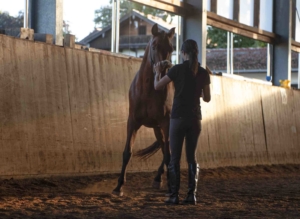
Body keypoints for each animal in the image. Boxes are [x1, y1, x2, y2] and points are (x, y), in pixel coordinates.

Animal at [112, 23, 176, 196]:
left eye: (171, 48)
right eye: (154, 46)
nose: (163, 72)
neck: (148, 90)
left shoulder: (166, 123)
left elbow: (169, 155)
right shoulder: (132, 122)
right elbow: (127, 152)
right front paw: (118, 187)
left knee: (168, 152)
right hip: (157, 129)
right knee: (164, 149)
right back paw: (158, 179)